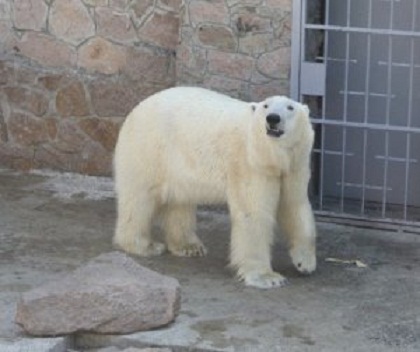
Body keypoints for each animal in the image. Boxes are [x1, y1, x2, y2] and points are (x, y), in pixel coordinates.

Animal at [113, 86, 316, 288]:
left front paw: (305, 263)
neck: (273, 157)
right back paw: (144, 245)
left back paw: (189, 246)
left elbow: (295, 205)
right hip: (150, 150)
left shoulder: (294, 167)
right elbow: (253, 213)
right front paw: (266, 277)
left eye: (290, 107)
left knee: (180, 200)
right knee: (140, 198)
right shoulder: (250, 164)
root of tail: (137, 108)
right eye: (266, 106)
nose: (272, 118)